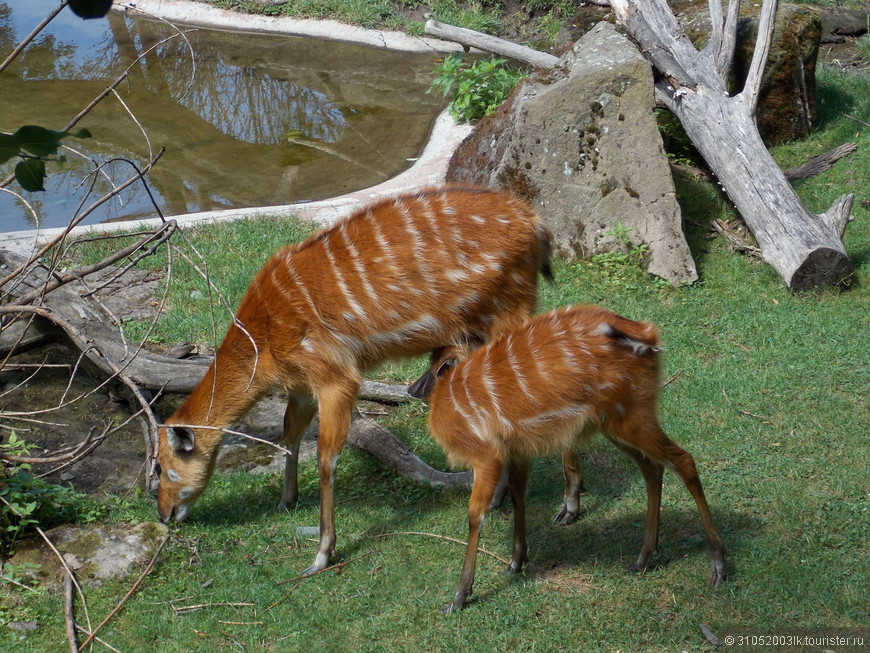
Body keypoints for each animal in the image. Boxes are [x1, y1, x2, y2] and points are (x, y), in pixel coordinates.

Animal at [153, 186, 556, 572]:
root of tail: (537, 225)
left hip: (510, 311)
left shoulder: (337, 374)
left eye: (160, 467)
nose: (163, 513)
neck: (264, 341)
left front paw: (322, 554)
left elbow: (327, 456)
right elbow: (291, 431)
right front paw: (286, 501)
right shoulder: (303, 384)